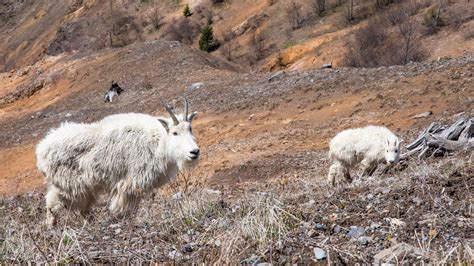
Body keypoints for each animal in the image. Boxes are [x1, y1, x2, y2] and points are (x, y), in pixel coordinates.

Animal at [36, 97, 199, 227]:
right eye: (175, 133)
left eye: (190, 128)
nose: (194, 152)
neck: (157, 142)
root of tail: (41, 150)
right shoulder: (129, 184)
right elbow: (124, 209)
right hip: (69, 186)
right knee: (52, 202)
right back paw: (51, 225)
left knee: (81, 208)